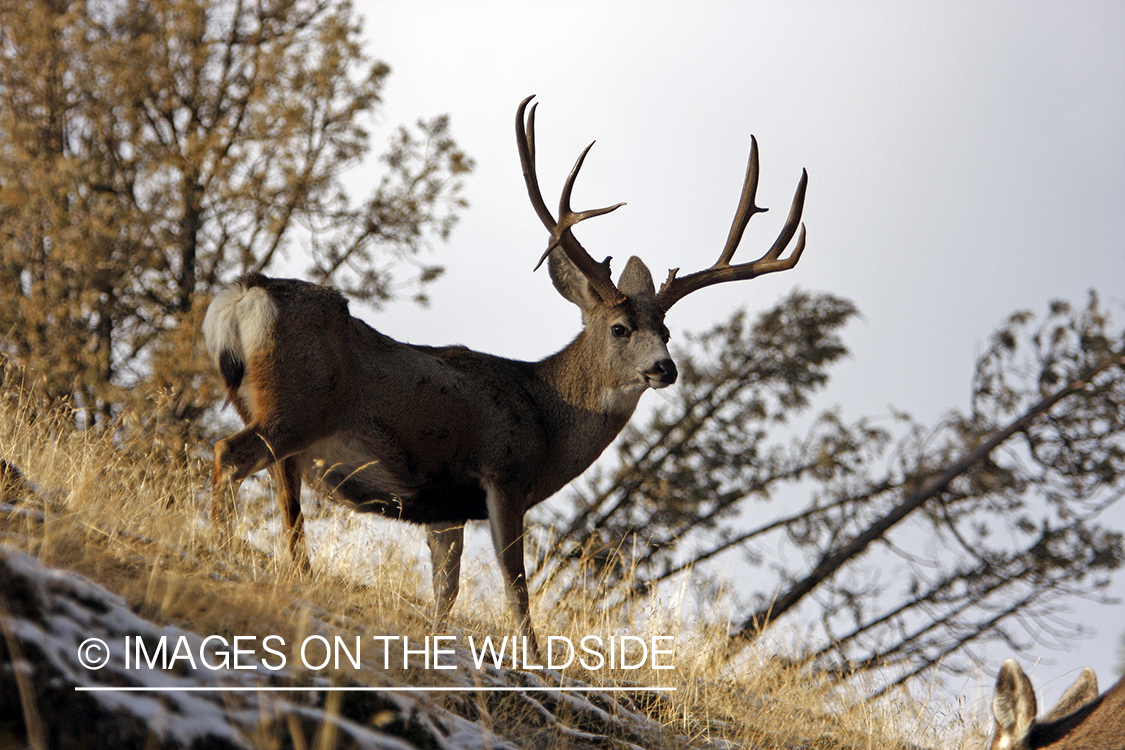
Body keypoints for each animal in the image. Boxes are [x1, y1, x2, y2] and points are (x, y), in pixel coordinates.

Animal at [202, 96, 808, 658]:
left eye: (668, 332)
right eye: (620, 328)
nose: (665, 368)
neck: (547, 416)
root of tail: (247, 293)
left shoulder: (444, 508)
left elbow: (444, 595)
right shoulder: (503, 472)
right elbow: (516, 587)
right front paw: (536, 659)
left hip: (278, 421)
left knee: (286, 507)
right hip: (299, 407)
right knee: (227, 454)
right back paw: (217, 543)